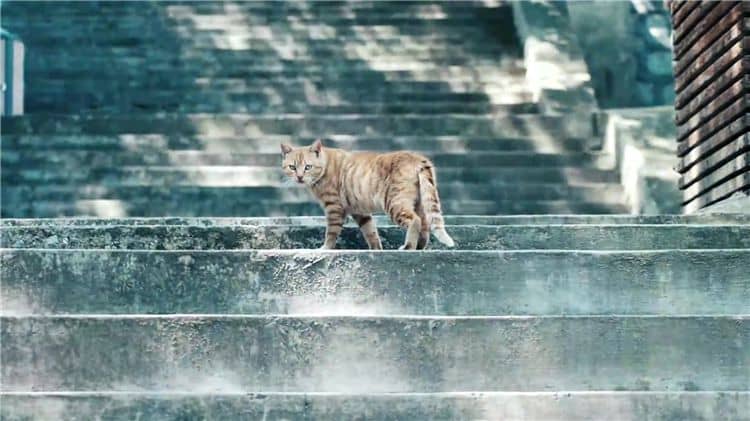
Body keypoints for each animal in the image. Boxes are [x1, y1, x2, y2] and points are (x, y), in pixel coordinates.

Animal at [282, 138, 456, 249]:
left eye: (308, 167)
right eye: (292, 167)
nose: (299, 177)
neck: (325, 165)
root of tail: (417, 158)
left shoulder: (334, 208)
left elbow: (331, 233)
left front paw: (325, 249)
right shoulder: (360, 212)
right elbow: (371, 233)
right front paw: (377, 249)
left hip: (394, 203)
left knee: (415, 221)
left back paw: (408, 247)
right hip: (418, 202)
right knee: (425, 225)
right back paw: (419, 247)